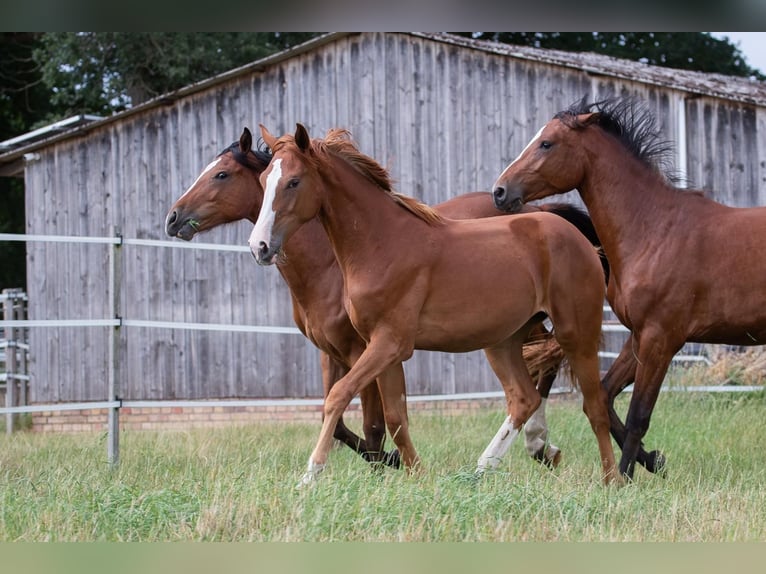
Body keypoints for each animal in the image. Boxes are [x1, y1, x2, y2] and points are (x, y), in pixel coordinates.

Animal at [165, 128, 607, 472]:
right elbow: (386, 417)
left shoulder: (380, 345)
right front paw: (411, 473)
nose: (172, 218)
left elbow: (355, 411)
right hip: (503, 339)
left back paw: (600, 474)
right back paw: (495, 464)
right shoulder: (350, 350)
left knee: (587, 399)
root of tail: (562, 226)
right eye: (263, 184)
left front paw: (324, 472)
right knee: (525, 395)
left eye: (221, 174)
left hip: (574, 331)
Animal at [491, 95, 766, 480]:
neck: (655, 229)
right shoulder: (637, 336)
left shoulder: (661, 339)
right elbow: (605, 397)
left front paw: (624, 477)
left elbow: (639, 415)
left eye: (547, 143)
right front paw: (654, 462)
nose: (500, 192)